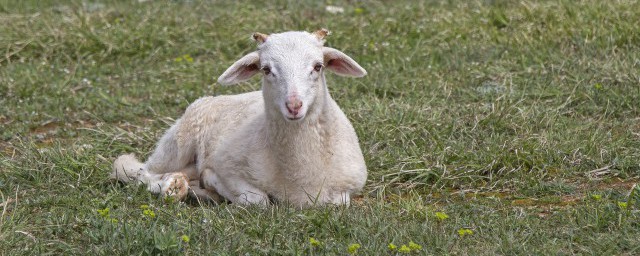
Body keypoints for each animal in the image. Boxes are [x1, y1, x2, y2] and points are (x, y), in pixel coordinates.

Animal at [112, 29, 368, 207]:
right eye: (266, 69)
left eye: (318, 66)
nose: (294, 106)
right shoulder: (228, 167)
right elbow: (258, 201)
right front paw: (211, 183)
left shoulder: (349, 187)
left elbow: (339, 202)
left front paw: (207, 189)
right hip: (178, 142)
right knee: (139, 172)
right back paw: (173, 187)